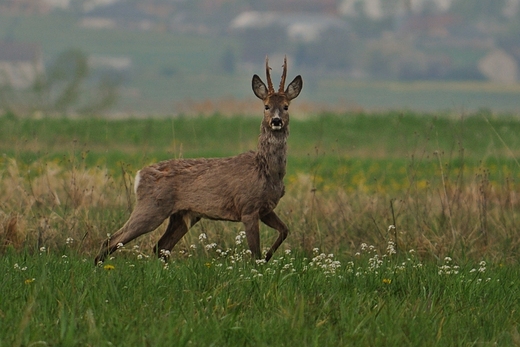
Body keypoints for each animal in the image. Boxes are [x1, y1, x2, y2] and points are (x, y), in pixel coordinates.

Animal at [95, 56, 302, 264]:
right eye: (266, 106)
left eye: (286, 106)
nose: (276, 121)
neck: (266, 170)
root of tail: (139, 176)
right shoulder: (248, 207)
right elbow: (254, 252)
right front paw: (260, 263)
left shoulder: (265, 209)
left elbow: (285, 230)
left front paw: (267, 257)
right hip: (152, 207)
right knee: (112, 240)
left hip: (183, 215)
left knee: (160, 246)